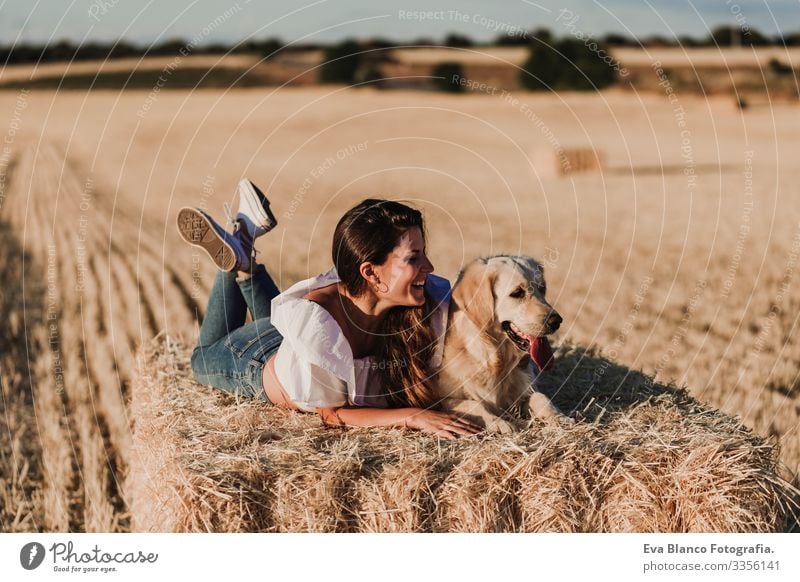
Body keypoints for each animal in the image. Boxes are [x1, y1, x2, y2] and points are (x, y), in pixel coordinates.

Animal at [432, 256, 568, 434]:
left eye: (542, 289)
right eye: (517, 293)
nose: (556, 321)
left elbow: (540, 397)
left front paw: (560, 417)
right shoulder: (438, 400)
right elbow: (473, 404)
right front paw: (499, 423)